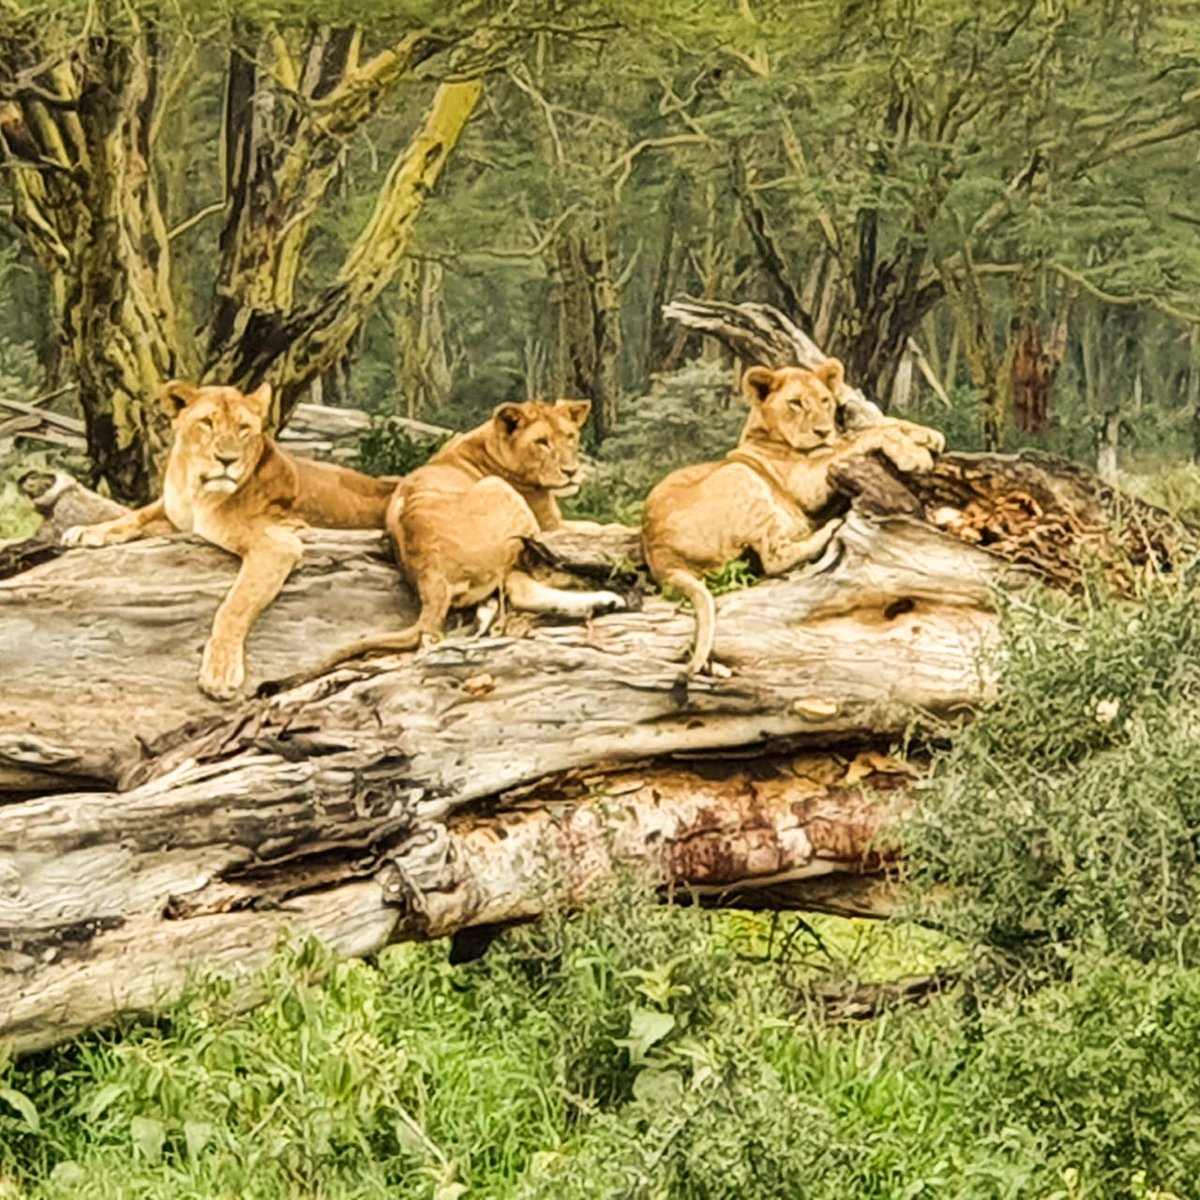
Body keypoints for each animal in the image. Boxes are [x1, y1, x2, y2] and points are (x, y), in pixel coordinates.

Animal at [62, 379, 398, 699]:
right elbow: (136, 515)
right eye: (207, 422)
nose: (227, 459)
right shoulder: (175, 513)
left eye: (243, 428)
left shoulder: (277, 542)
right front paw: (86, 531)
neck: (196, 491)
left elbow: (234, 605)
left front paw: (219, 673)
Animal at [329, 398, 626, 662]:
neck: (489, 442)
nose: (571, 471)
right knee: (533, 575)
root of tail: (432, 575)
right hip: (500, 492)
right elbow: (606, 527)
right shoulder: (551, 524)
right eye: (542, 442)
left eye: (570, 437)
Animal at [642, 360, 945, 676]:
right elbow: (858, 438)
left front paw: (926, 434)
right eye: (796, 403)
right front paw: (913, 454)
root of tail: (659, 557)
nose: (823, 431)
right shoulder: (804, 482)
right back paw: (830, 529)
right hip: (741, 474)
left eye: (825, 401)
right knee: (774, 558)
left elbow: (871, 428)